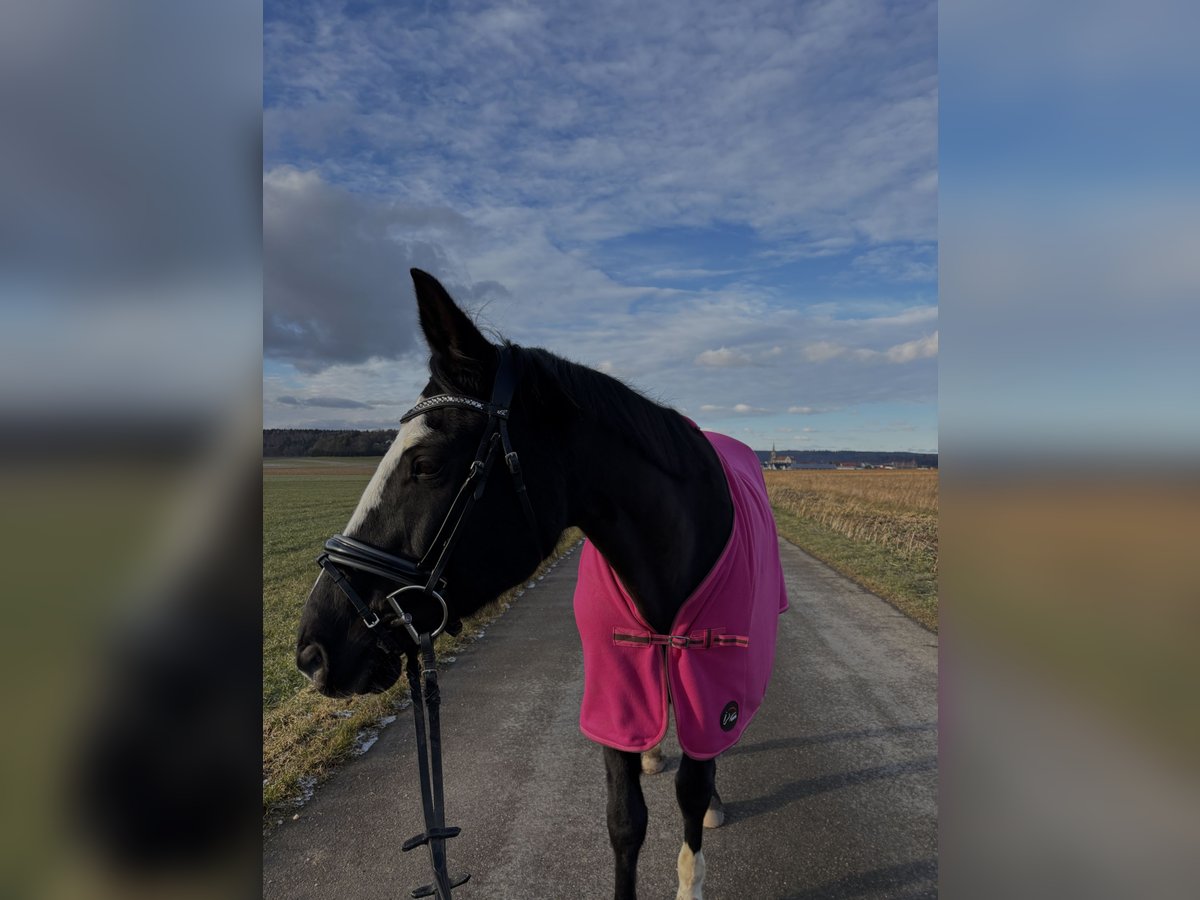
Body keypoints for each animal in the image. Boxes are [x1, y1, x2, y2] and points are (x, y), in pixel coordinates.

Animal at [298, 270, 748, 900]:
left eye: (427, 464)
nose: (312, 651)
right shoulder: (613, 687)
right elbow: (624, 821)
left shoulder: (713, 682)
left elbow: (692, 788)